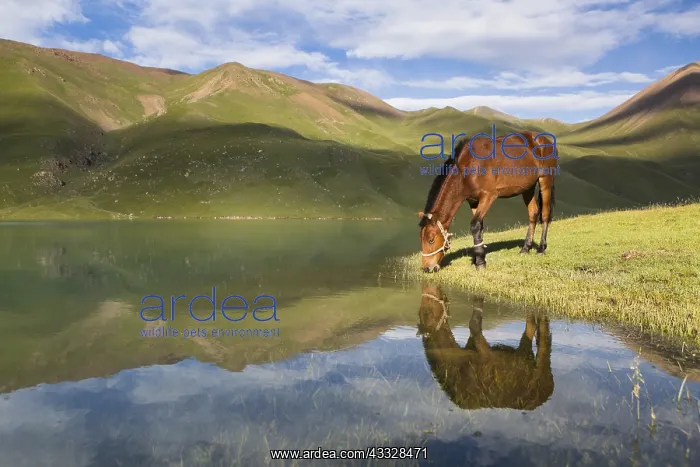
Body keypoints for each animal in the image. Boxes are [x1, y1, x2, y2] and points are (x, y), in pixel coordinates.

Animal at [417, 284, 554, 411]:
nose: (426, 286)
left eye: (427, 311)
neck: (458, 367)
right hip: (524, 356)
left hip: (541, 365)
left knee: (543, 340)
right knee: (530, 327)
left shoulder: (485, 355)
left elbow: (473, 324)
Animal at [418, 130, 557, 272]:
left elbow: (475, 225)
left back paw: (541, 248)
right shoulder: (473, 201)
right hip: (527, 188)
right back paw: (525, 248)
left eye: (431, 240)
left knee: (545, 214)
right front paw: (477, 258)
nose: (426, 268)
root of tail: (545, 140)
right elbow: (479, 227)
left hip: (545, 180)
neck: (468, 167)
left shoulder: (488, 196)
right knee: (533, 213)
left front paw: (480, 262)